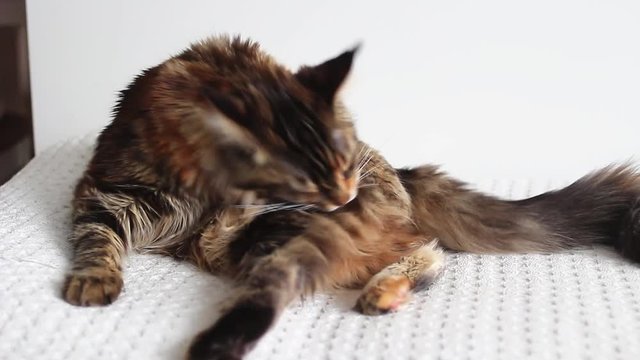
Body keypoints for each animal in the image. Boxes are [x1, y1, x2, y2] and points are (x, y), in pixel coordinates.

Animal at [62, 34, 640, 360]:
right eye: (305, 179)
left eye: (341, 158)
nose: (345, 194)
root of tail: (398, 173)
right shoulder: (104, 196)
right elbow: (96, 241)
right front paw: (93, 281)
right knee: (426, 250)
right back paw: (385, 291)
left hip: (282, 237)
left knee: (419, 249)